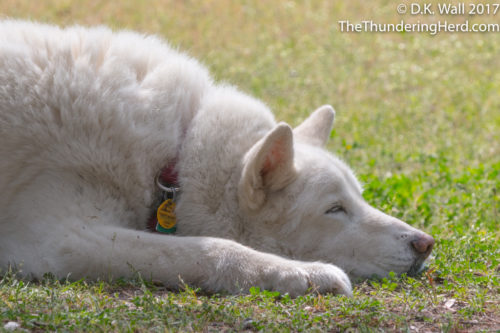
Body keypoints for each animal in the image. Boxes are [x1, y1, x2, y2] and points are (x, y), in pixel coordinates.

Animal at [0, 20, 434, 296]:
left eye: (358, 199)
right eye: (334, 210)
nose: (426, 244)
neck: (176, 154)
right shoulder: (59, 238)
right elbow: (209, 249)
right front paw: (301, 273)